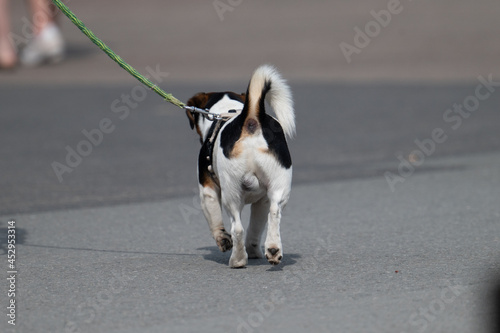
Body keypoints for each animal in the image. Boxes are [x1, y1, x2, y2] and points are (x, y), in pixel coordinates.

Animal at [186, 65, 294, 268]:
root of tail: (251, 118)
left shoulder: (207, 190)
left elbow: (216, 222)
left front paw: (223, 240)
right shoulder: (262, 201)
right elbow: (255, 229)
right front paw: (254, 251)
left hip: (231, 194)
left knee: (237, 228)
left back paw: (237, 260)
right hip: (279, 187)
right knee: (274, 214)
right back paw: (273, 250)